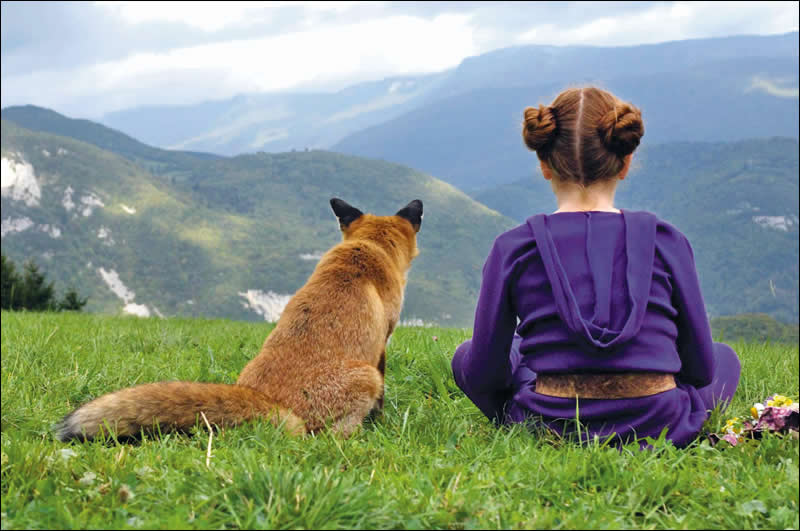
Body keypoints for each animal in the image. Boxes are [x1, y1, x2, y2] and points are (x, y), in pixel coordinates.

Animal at [56, 197, 422, 442]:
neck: (365, 249)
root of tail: (270, 402)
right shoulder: (382, 346)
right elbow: (383, 392)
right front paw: (381, 421)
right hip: (363, 379)